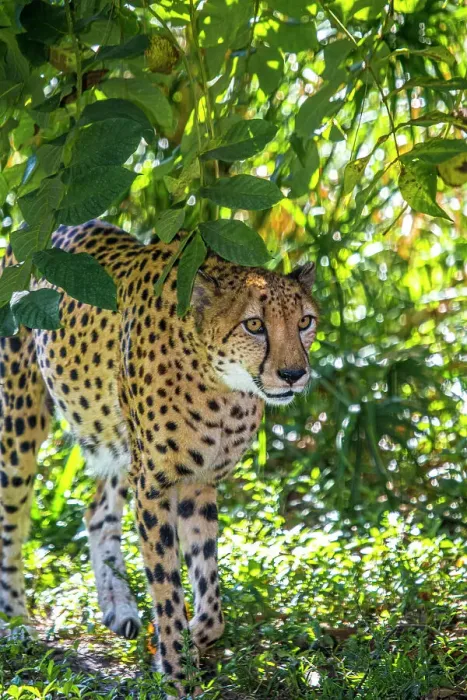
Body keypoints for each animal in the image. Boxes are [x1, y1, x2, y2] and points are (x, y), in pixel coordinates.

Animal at [0, 219, 318, 696]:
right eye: (254, 325)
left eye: (305, 322)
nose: (294, 374)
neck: (225, 387)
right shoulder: (153, 485)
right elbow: (168, 588)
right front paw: (178, 672)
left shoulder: (196, 482)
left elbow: (211, 591)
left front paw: (190, 641)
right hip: (20, 423)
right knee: (11, 521)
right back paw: (17, 621)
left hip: (118, 441)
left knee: (97, 512)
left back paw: (119, 607)